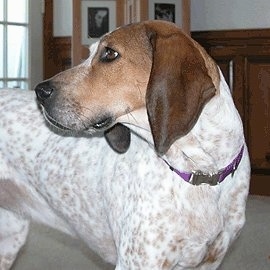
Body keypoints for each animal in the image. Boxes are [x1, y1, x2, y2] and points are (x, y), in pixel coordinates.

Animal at [0, 20, 250, 268]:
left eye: (110, 53)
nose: (40, 91)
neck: (201, 171)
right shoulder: (138, 261)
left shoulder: (210, 261)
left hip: (11, 238)